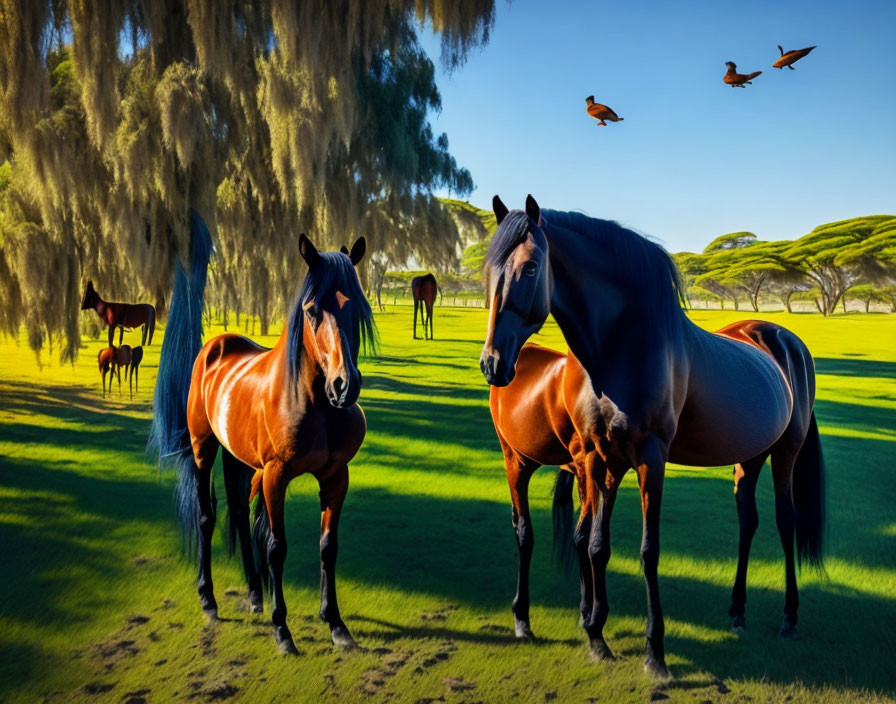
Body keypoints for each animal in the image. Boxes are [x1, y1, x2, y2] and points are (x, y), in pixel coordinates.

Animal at [149, 230, 372, 656]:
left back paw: (254, 594)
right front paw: (282, 629)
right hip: (204, 450)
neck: (310, 401)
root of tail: (215, 346)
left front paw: (335, 624)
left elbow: (327, 546)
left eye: (359, 308)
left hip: (236, 457)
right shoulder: (275, 477)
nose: (344, 386)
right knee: (206, 517)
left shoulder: (336, 477)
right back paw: (208, 598)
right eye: (312, 310)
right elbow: (276, 546)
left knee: (237, 512)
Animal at [480, 195, 824, 680]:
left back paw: (789, 617)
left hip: (786, 451)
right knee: (748, 520)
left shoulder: (650, 458)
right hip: (750, 455)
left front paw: (654, 652)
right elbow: (596, 545)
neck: (624, 348)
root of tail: (784, 339)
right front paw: (596, 635)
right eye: (491, 270)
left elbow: (648, 550)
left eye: (530, 268)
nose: (492, 363)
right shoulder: (599, 458)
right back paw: (737, 612)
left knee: (785, 520)